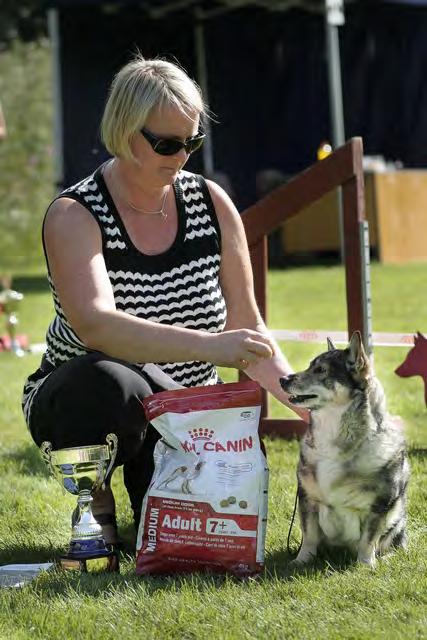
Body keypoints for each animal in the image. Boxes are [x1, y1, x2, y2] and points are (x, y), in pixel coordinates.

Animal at [280, 332, 410, 568]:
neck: (335, 438)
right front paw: (302, 560)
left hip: (398, 518)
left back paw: (387, 558)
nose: (282, 379)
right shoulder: (307, 499)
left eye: (321, 370)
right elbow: (309, 535)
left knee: (396, 543)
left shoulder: (379, 506)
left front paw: (366, 565)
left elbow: (368, 540)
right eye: (310, 366)